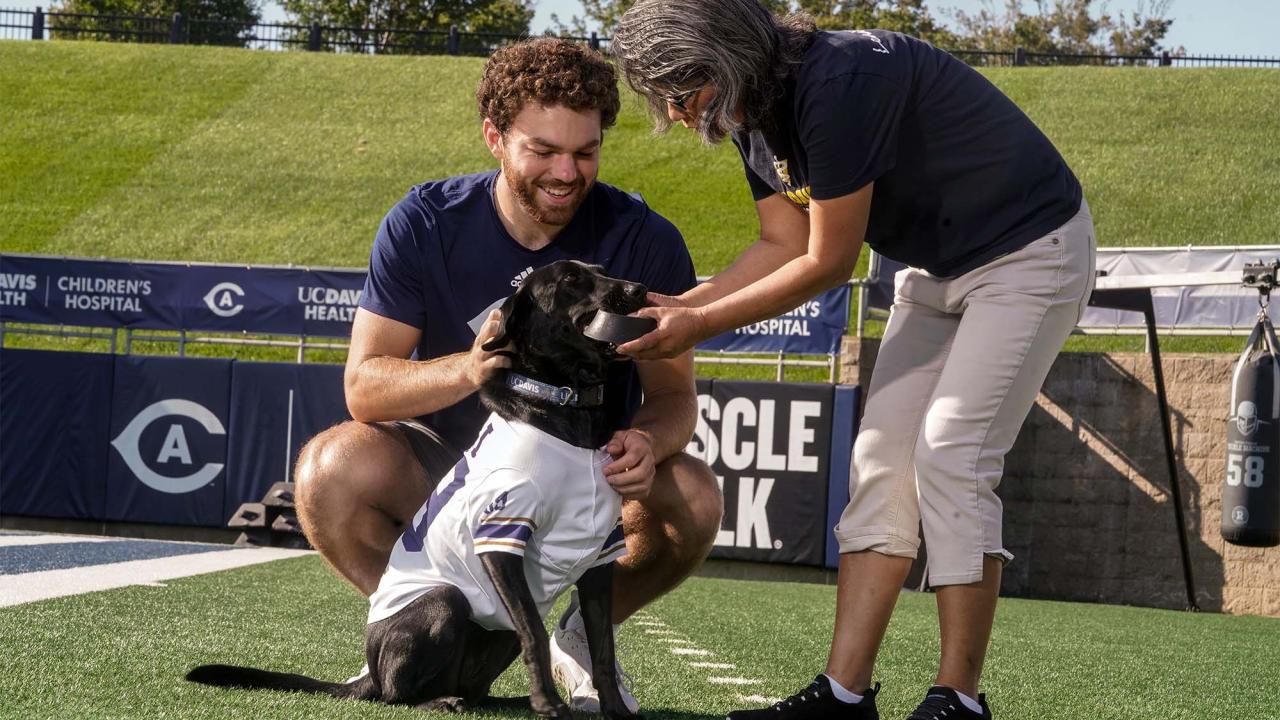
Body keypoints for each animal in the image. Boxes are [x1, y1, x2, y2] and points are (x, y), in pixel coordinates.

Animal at [186, 258, 650, 717]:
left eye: (601, 268)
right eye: (571, 278)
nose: (640, 289)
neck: (564, 406)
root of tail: (369, 671)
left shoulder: (599, 555)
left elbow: (602, 646)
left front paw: (613, 710)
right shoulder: (501, 536)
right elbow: (535, 633)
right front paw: (547, 703)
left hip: (497, 627)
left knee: (477, 687)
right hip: (445, 601)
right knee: (396, 694)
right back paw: (442, 700)